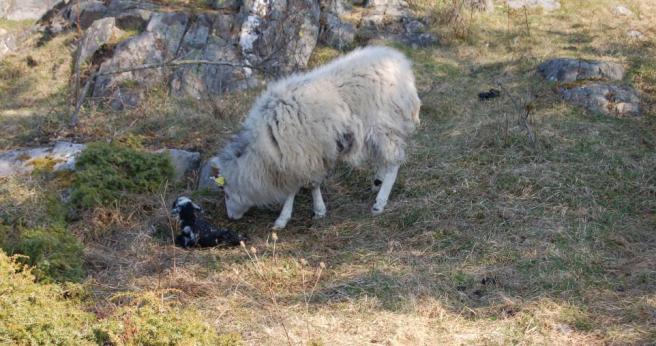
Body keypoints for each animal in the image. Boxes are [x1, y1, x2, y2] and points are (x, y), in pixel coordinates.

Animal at [214, 46, 420, 230]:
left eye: (226, 192)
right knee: (384, 158)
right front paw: (319, 210)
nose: (230, 217)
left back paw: (380, 202)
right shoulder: (309, 155)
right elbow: (312, 184)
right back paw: (378, 181)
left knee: (393, 163)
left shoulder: (298, 155)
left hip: (384, 126)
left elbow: (294, 189)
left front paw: (283, 218)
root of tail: (403, 64)